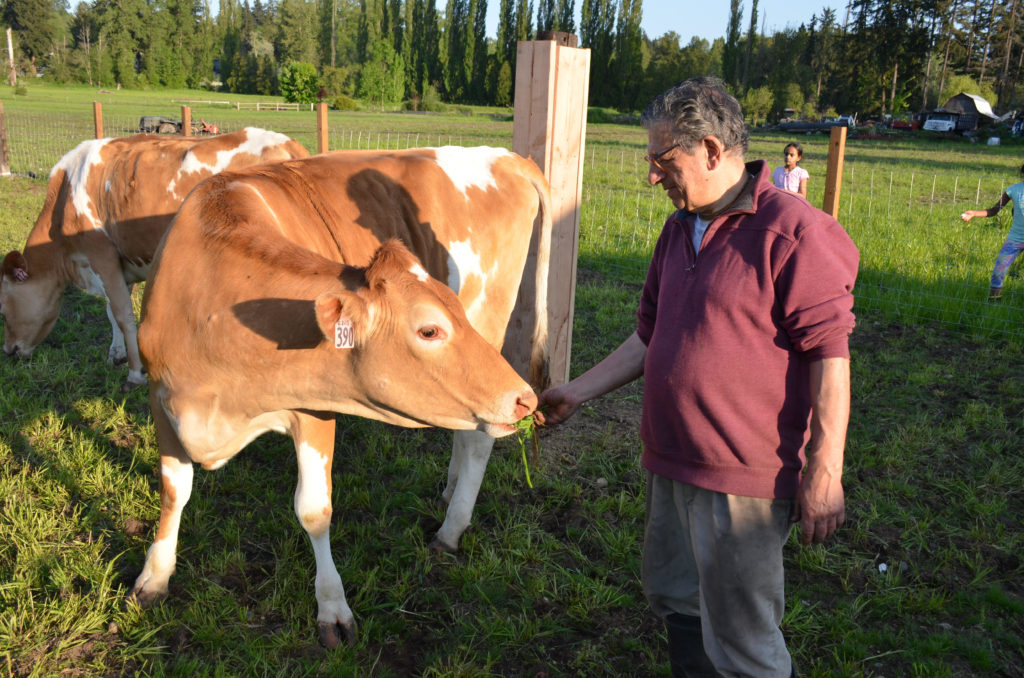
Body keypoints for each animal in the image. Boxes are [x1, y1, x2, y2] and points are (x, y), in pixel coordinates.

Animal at [0, 128, 310, 388]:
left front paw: (135, 373)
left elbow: (124, 315)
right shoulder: (121, 263)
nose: (9, 350)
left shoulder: (101, 254)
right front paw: (116, 354)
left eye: (2, 310)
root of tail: (289, 143)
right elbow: (111, 311)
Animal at [129, 146, 552, 648]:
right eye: (430, 329)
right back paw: (450, 491)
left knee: (477, 439)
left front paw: (332, 607)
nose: (525, 399)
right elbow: (175, 489)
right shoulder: (160, 397)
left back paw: (451, 530)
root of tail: (507, 156)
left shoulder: (315, 408)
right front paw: (155, 576)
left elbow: (314, 510)